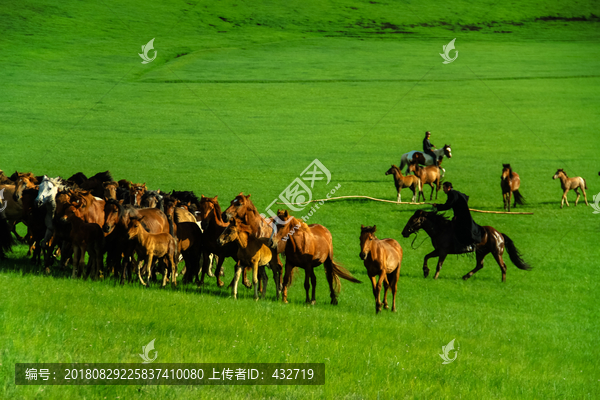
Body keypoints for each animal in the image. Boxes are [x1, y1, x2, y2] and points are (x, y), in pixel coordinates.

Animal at [400, 209, 532, 282]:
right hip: (481, 252)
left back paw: (503, 282)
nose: (404, 232)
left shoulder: (443, 252)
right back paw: (465, 276)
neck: (440, 229)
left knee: (503, 266)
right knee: (480, 265)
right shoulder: (438, 250)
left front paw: (434, 277)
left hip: (496, 252)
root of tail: (499, 234)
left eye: (413, 220)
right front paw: (426, 271)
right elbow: (426, 257)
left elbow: (439, 265)